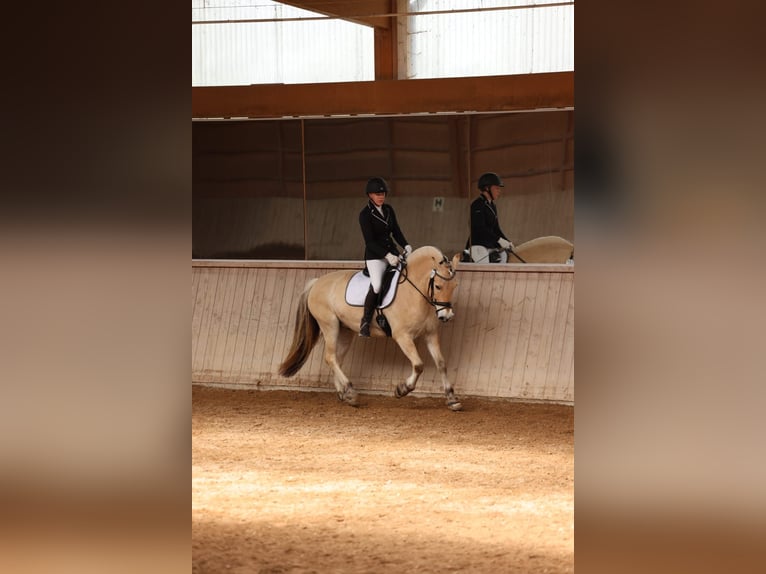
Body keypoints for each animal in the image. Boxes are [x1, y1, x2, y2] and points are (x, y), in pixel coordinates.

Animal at [279, 246, 463, 411]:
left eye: (455, 286)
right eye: (438, 286)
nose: (446, 316)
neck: (414, 292)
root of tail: (317, 282)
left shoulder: (430, 334)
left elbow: (441, 364)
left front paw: (452, 399)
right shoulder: (402, 336)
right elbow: (418, 365)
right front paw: (401, 390)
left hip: (345, 331)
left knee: (336, 358)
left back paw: (344, 394)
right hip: (329, 325)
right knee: (330, 357)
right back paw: (350, 392)